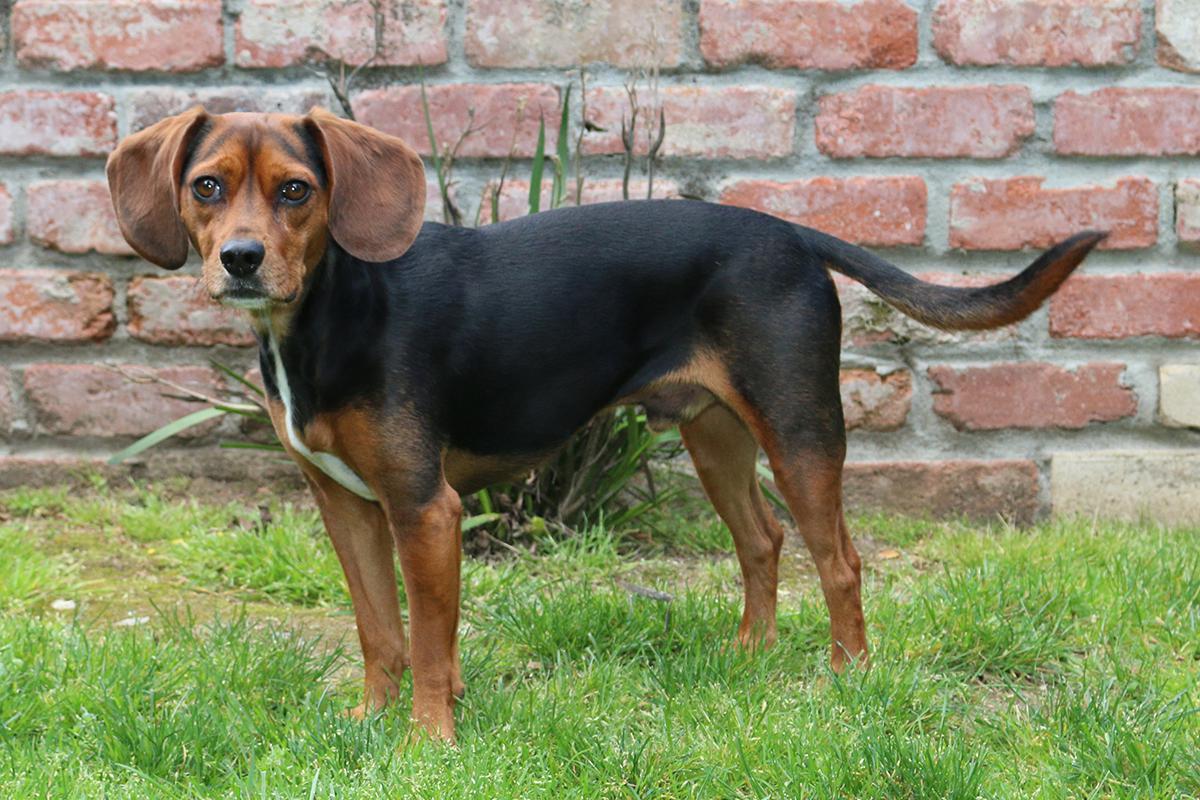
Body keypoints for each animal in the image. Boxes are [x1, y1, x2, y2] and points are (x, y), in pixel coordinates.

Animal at [108, 107, 1099, 743]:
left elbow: (426, 642)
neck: (331, 312)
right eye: (207, 187)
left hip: (799, 427)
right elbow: (379, 632)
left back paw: (847, 679)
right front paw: (370, 723)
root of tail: (791, 232)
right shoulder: (346, 504)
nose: (240, 260)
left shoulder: (425, 510)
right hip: (713, 434)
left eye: (297, 191)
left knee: (841, 561)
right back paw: (750, 657)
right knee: (763, 541)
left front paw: (428, 742)